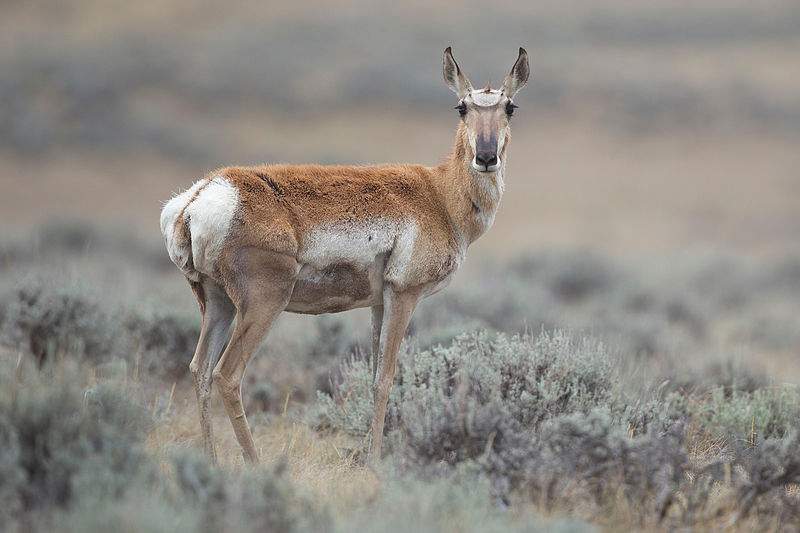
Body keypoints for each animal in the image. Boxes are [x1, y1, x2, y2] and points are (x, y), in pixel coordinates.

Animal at [160, 47, 529, 464]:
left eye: (510, 106)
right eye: (461, 107)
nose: (486, 157)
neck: (438, 194)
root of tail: (203, 194)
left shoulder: (379, 303)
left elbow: (372, 376)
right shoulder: (404, 295)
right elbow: (386, 378)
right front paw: (374, 462)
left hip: (217, 303)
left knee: (199, 369)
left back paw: (210, 460)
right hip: (263, 305)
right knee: (226, 375)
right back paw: (254, 463)